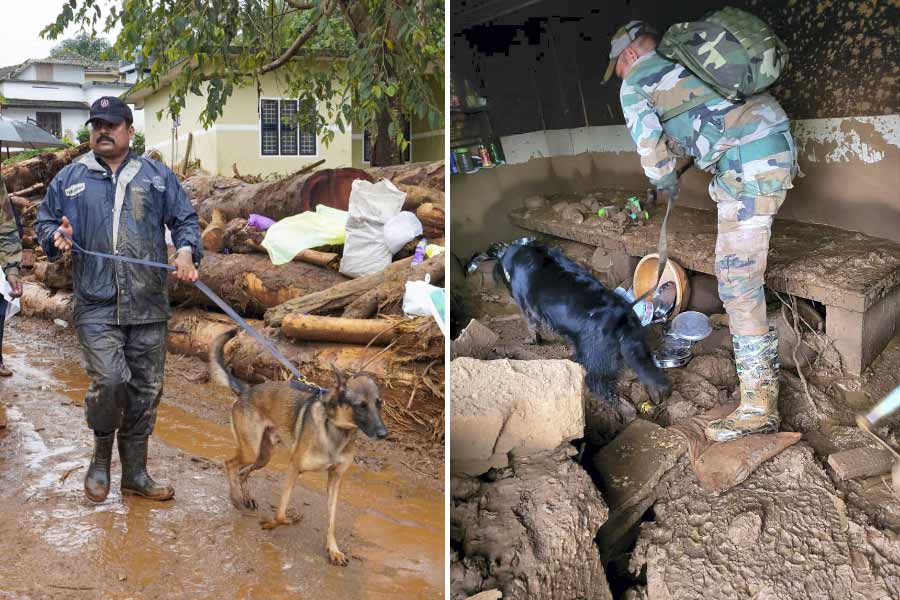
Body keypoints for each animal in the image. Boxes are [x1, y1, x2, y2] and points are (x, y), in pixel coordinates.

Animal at [215, 330, 394, 564]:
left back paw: (247, 498)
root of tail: (247, 389)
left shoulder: (335, 480)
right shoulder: (294, 468)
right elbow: (281, 514)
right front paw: (278, 522)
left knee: (243, 471)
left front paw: (333, 550)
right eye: (361, 406)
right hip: (251, 450)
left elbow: (332, 520)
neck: (335, 430)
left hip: (264, 455)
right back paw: (236, 498)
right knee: (230, 464)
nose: (384, 434)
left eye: (379, 404)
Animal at [496, 244, 672, 408]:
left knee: (600, 386)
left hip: (593, 357)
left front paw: (533, 341)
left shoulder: (528, 309)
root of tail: (624, 321)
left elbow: (533, 329)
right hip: (635, 349)